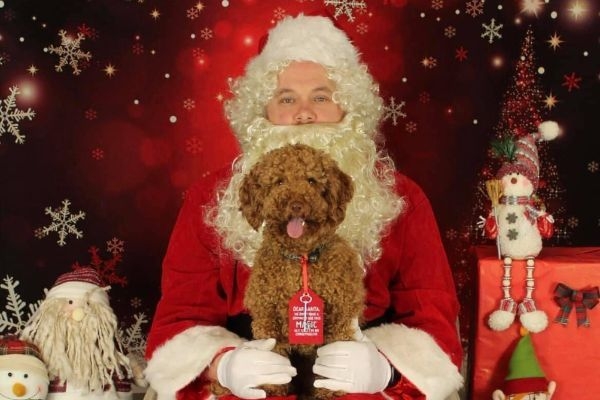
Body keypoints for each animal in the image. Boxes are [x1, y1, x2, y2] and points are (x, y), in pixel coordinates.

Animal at [239, 144, 366, 400]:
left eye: (311, 181)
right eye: (278, 182)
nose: (296, 204)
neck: (301, 258)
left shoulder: (340, 313)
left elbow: (335, 355)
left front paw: (329, 390)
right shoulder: (267, 315)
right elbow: (273, 353)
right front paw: (272, 387)